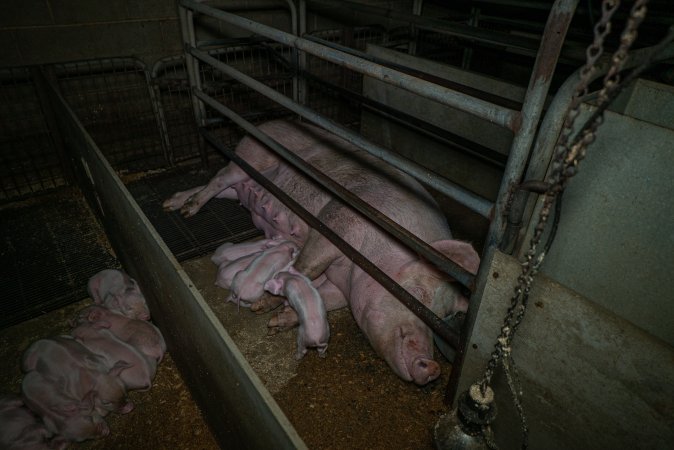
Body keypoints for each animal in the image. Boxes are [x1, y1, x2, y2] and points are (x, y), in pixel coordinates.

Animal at [163, 120, 478, 386]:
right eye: (418, 296)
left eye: (442, 319)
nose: (433, 367)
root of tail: (270, 122)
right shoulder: (337, 223)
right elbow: (307, 267)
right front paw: (263, 306)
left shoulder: (344, 288)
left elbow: (325, 299)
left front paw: (277, 323)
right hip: (248, 157)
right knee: (218, 178)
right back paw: (187, 210)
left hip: (243, 185)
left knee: (218, 187)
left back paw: (172, 204)